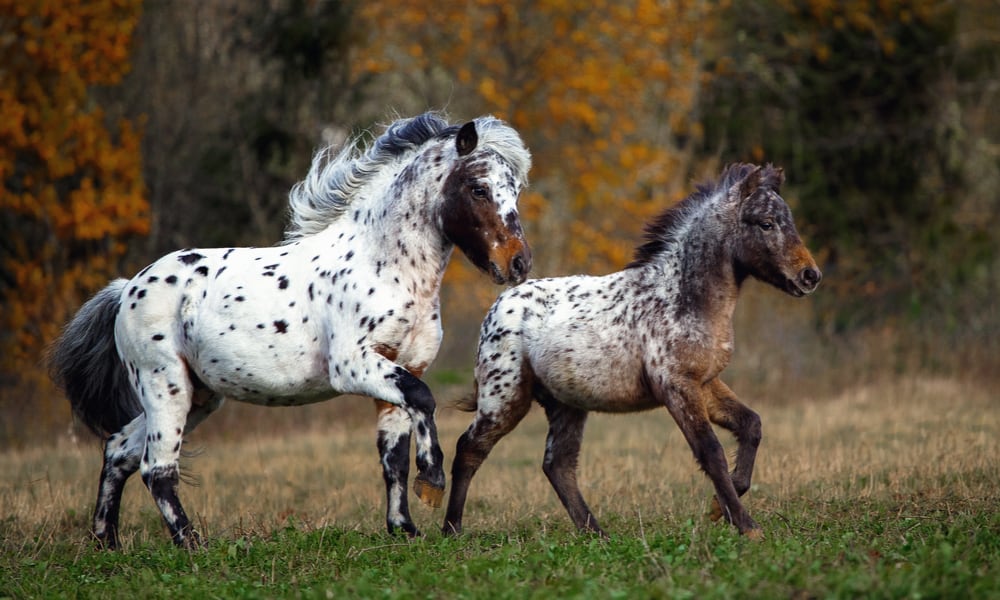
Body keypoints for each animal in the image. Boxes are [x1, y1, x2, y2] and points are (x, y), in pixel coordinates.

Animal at [48, 111, 533, 548]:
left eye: (515, 191)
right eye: (478, 188)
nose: (519, 263)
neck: (384, 265)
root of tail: (128, 288)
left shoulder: (401, 366)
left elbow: (393, 455)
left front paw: (404, 529)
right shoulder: (354, 366)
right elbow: (424, 400)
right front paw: (431, 479)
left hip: (198, 396)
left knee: (119, 450)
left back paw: (107, 543)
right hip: (164, 385)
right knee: (157, 467)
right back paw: (191, 545)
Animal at [442, 163, 821, 540]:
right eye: (767, 223)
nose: (810, 275)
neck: (681, 298)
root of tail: (497, 307)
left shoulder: (704, 382)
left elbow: (751, 424)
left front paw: (719, 509)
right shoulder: (677, 387)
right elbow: (710, 451)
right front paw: (746, 525)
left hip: (566, 404)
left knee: (558, 465)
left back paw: (596, 534)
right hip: (504, 397)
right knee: (470, 449)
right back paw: (451, 529)